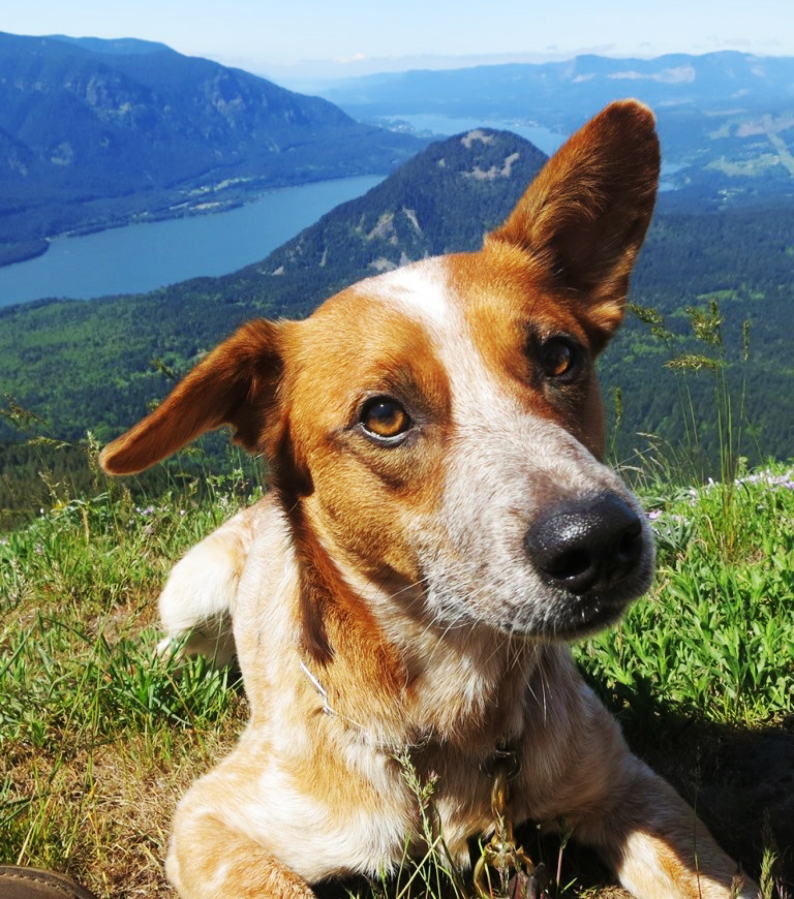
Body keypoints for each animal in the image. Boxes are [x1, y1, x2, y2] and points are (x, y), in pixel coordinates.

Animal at [100, 102, 756, 899]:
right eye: (383, 415)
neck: (453, 724)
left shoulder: (630, 785)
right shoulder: (211, 820)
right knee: (176, 637)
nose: (599, 539)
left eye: (560, 355)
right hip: (190, 591)